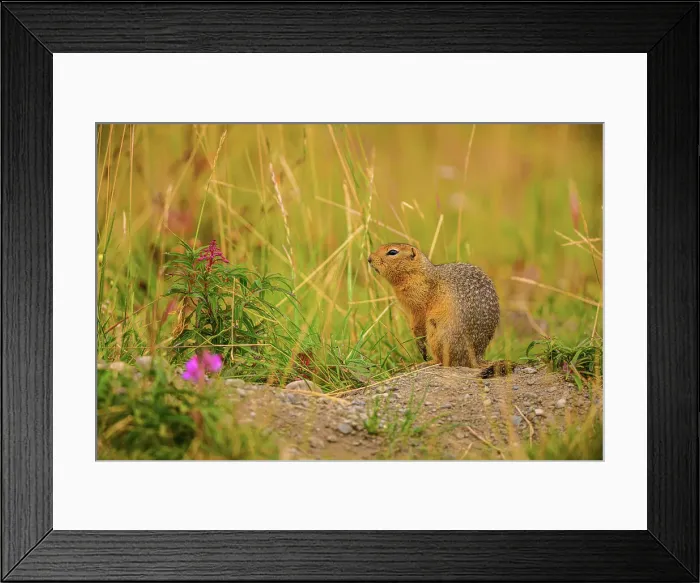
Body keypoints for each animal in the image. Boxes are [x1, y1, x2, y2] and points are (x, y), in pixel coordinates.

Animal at [368, 243, 515, 378]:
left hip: (438, 334)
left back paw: (426, 363)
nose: (369, 258)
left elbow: (418, 324)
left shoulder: (419, 305)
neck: (418, 272)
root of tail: (477, 358)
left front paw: (420, 346)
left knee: (444, 362)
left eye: (392, 252)